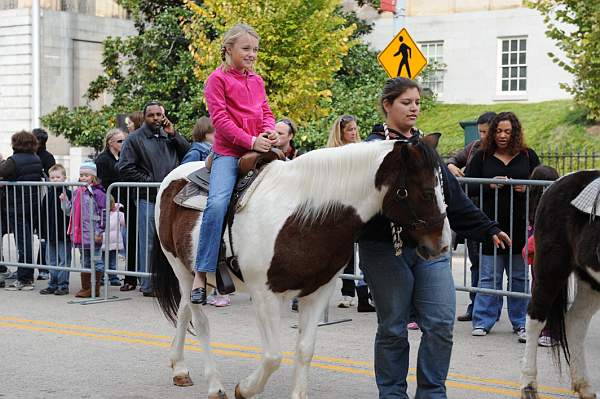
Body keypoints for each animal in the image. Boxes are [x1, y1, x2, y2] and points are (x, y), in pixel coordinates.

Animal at [152, 136, 448, 398]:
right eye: (426, 192)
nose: (443, 245)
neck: (304, 218)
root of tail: (173, 176)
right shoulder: (264, 296)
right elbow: (273, 356)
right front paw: (244, 389)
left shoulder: (318, 292)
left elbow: (305, 349)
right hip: (183, 270)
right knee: (200, 321)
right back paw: (215, 385)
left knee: (183, 310)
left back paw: (179, 368)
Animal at [520, 170, 600, 399]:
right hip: (551, 270)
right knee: (535, 318)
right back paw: (529, 385)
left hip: (591, 282)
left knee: (576, 321)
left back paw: (585, 386)